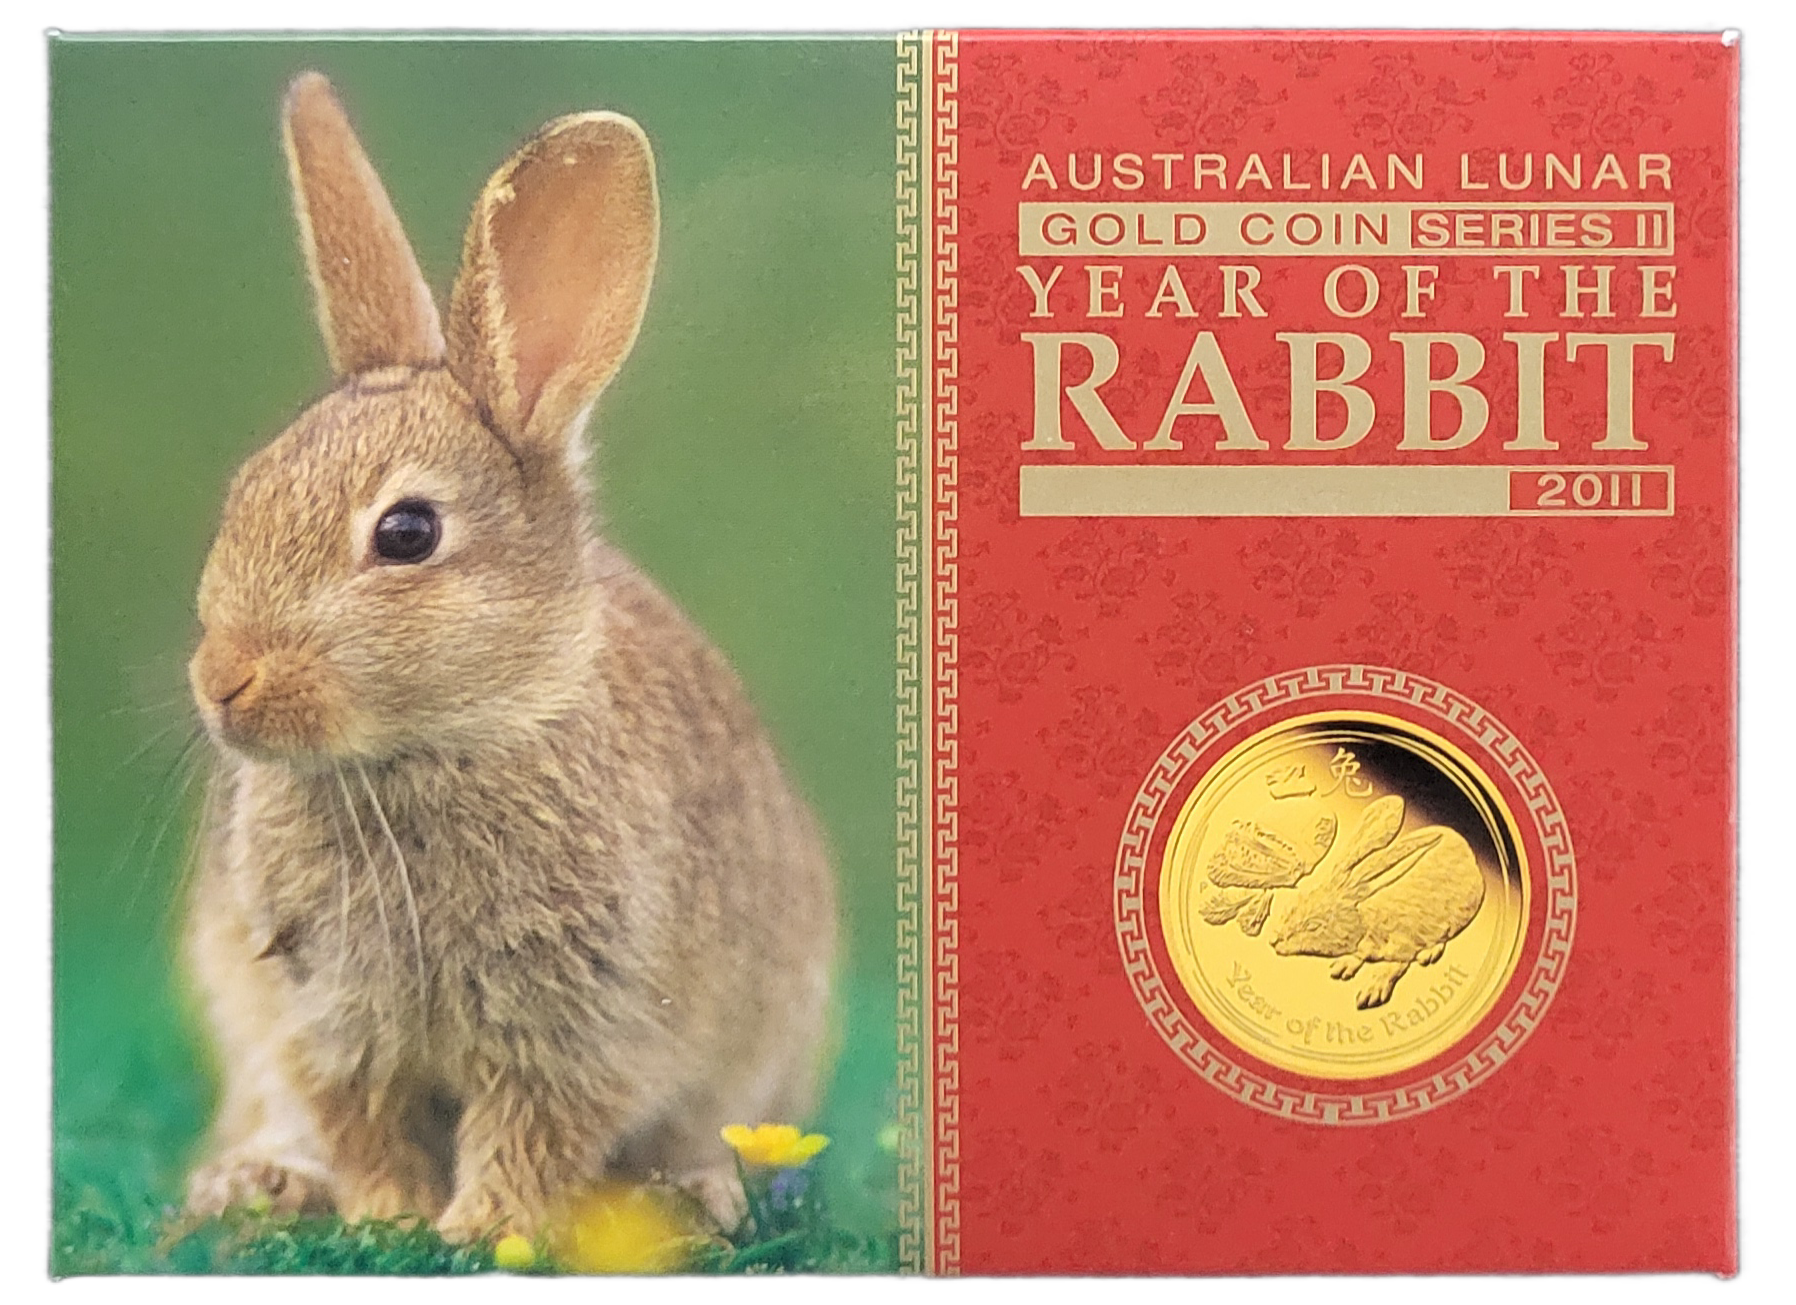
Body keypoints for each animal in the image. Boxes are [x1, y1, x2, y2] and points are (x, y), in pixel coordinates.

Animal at [179, 72, 837, 1244]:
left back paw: (694, 1193)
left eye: (406, 534)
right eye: (246, 492)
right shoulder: (323, 1018)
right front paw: (389, 1218)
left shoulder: (583, 1021)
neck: (445, 742)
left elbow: (534, 1125)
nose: (223, 684)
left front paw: (485, 1229)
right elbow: (363, 1118)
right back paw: (259, 1185)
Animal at [1266, 795, 1484, 1010]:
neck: (1366, 922)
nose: (1273, 941)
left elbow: (1393, 966)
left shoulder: (1404, 944)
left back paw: (1428, 953)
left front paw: (1371, 992)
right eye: (1290, 906)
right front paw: (1343, 966)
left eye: (1313, 926)